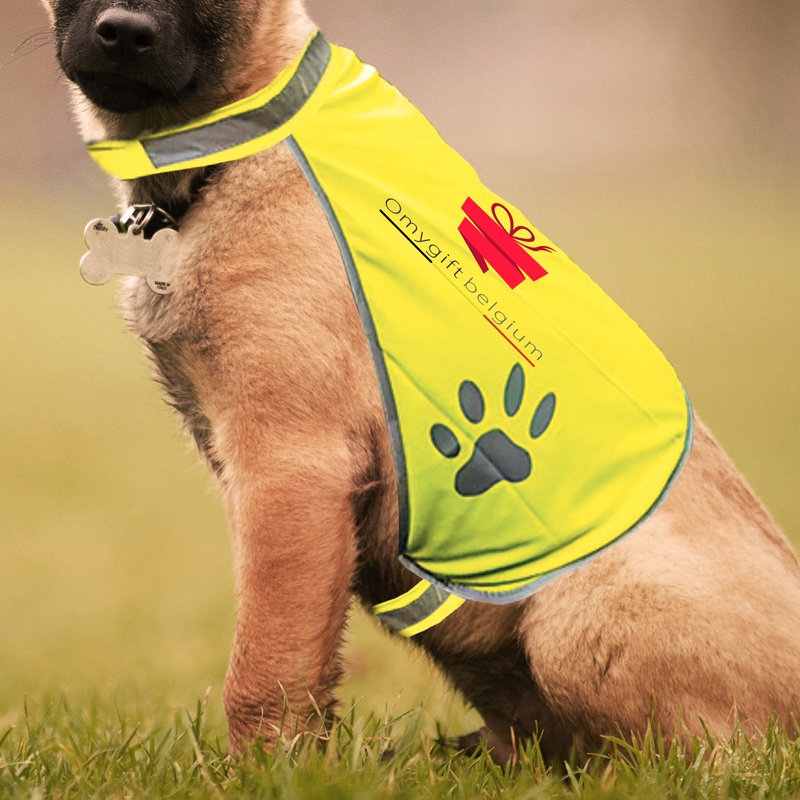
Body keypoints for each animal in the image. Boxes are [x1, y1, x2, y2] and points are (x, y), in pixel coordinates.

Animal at [40, 0, 800, 764]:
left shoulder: (291, 471)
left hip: (583, 620)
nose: (124, 33)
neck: (243, 135)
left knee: (705, 757)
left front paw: (263, 772)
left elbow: (265, 667)